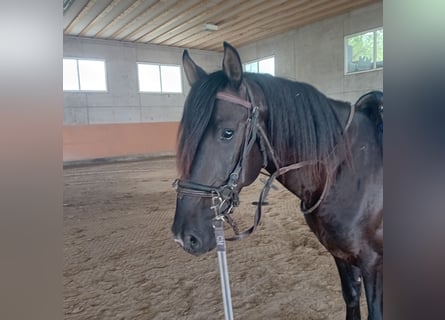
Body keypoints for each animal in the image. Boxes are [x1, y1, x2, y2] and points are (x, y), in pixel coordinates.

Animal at [171, 43, 382, 320]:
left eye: (227, 132)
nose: (184, 236)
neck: (349, 168)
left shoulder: (372, 262)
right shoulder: (342, 255)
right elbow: (351, 299)